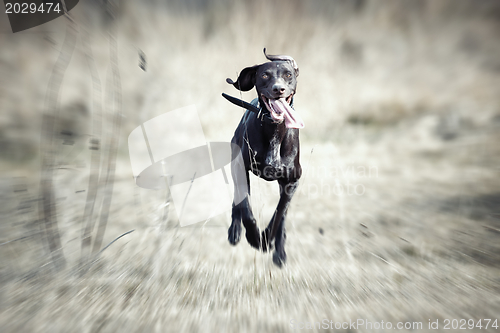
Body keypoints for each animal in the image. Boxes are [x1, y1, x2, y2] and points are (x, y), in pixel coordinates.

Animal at [227, 48, 304, 268]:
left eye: (288, 74)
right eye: (264, 75)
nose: (278, 89)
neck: (274, 129)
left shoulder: (292, 181)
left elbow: (279, 214)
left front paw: (267, 240)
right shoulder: (239, 168)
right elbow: (245, 207)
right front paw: (253, 237)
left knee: (283, 215)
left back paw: (279, 252)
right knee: (237, 200)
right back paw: (235, 231)